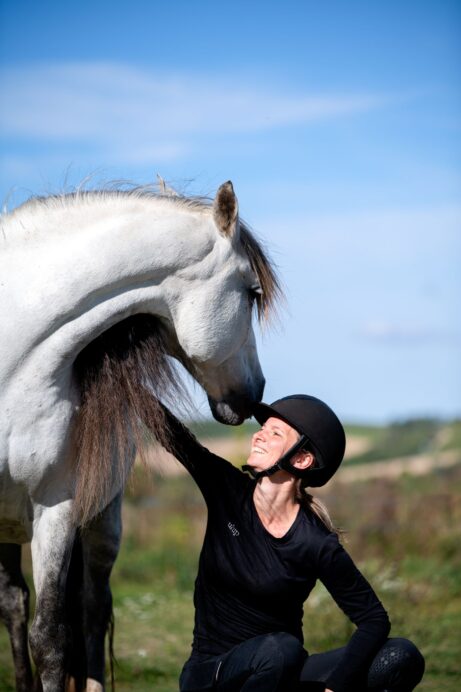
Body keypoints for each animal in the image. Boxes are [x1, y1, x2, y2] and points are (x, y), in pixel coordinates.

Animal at [0, 180, 280, 691]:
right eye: (251, 293)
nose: (256, 393)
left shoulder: (55, 509)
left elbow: (50, 638)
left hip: (100, 524)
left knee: (91, 609)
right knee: (13, 603)